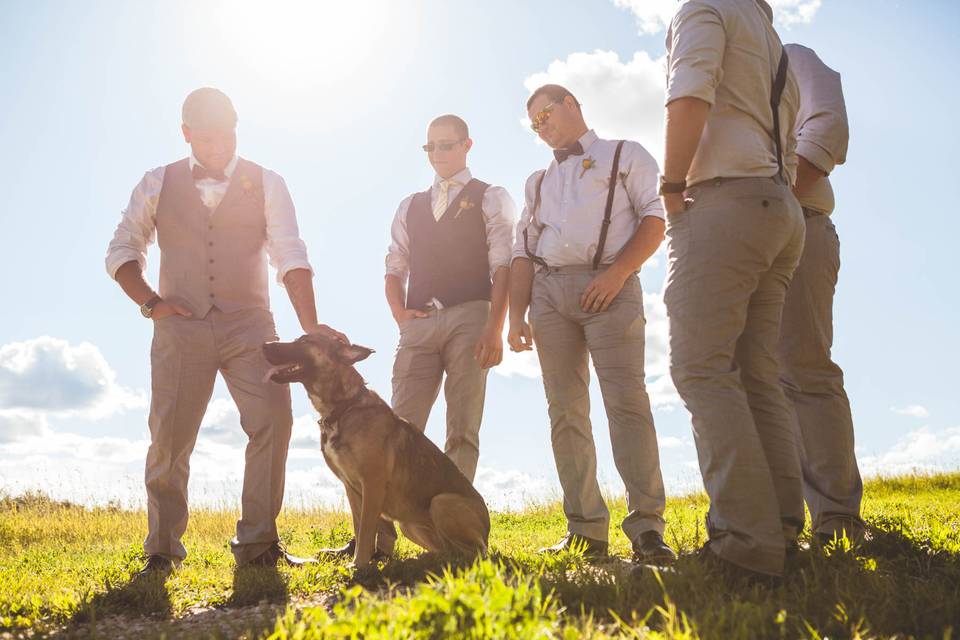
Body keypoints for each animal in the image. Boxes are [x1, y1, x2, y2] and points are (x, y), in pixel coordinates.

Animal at [260, 332, 492, 568]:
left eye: (305, 342)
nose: (264, 345)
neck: (345, 407)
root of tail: (487, 532)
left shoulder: (372, 484)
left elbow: (366, 530)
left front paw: (359, 564)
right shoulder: (352, 488)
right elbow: (359, 526)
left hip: (441, 503)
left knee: (476, 552)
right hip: (410, 525)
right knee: (448, 549)